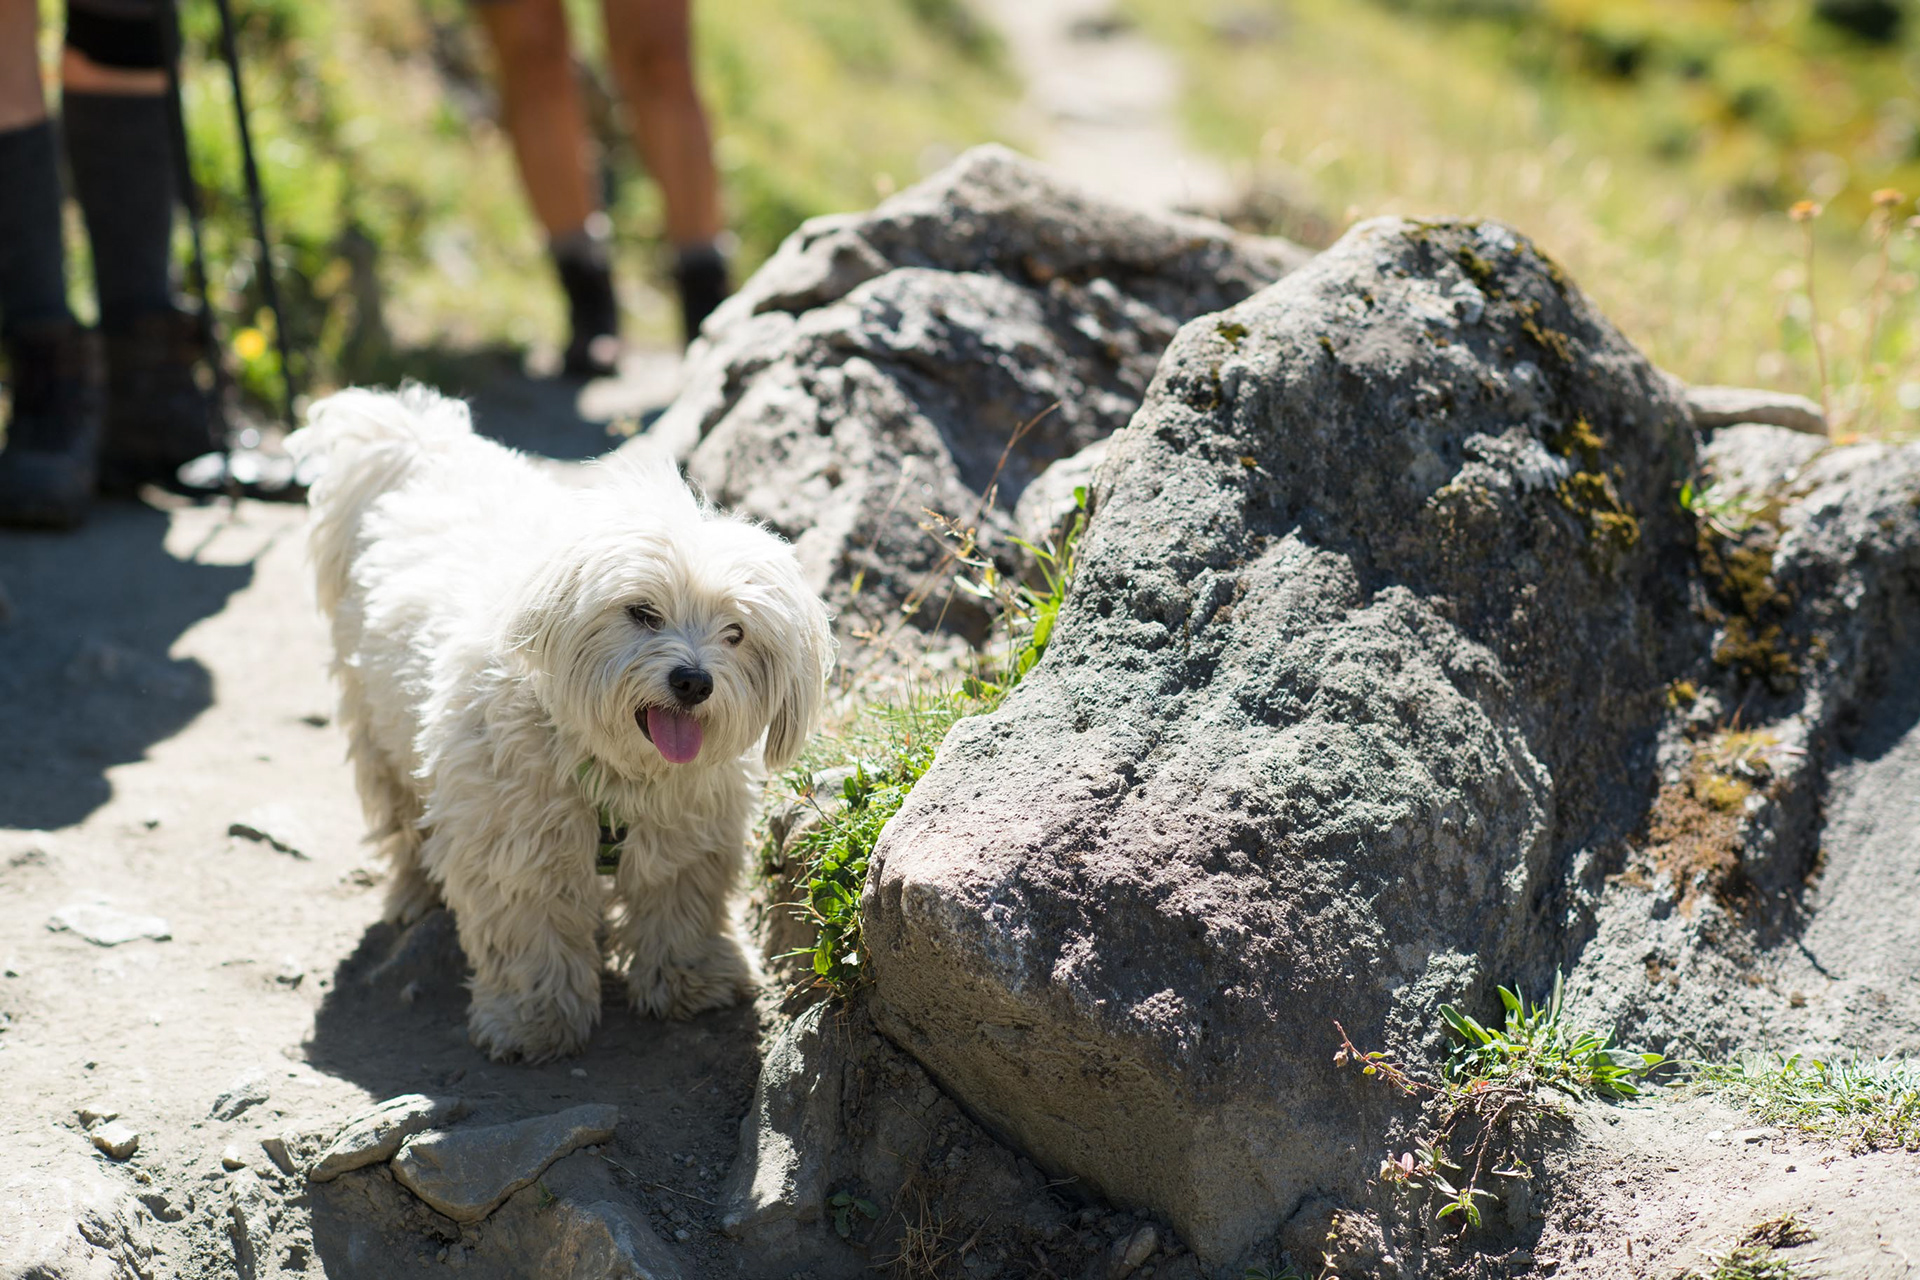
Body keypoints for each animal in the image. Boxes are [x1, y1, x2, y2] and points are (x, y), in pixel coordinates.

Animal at [289, 386, 833, 1061]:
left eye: (736, 633)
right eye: (643, 613)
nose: (693, 681)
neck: (609, 765)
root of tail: (420, 443)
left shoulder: (689, 832)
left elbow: (680, 904)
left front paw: (692, 978)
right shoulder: (515, 845)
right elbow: (531, 931)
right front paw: (535, 1020)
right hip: (378, 730)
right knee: (402, 815)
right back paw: (414, 890)